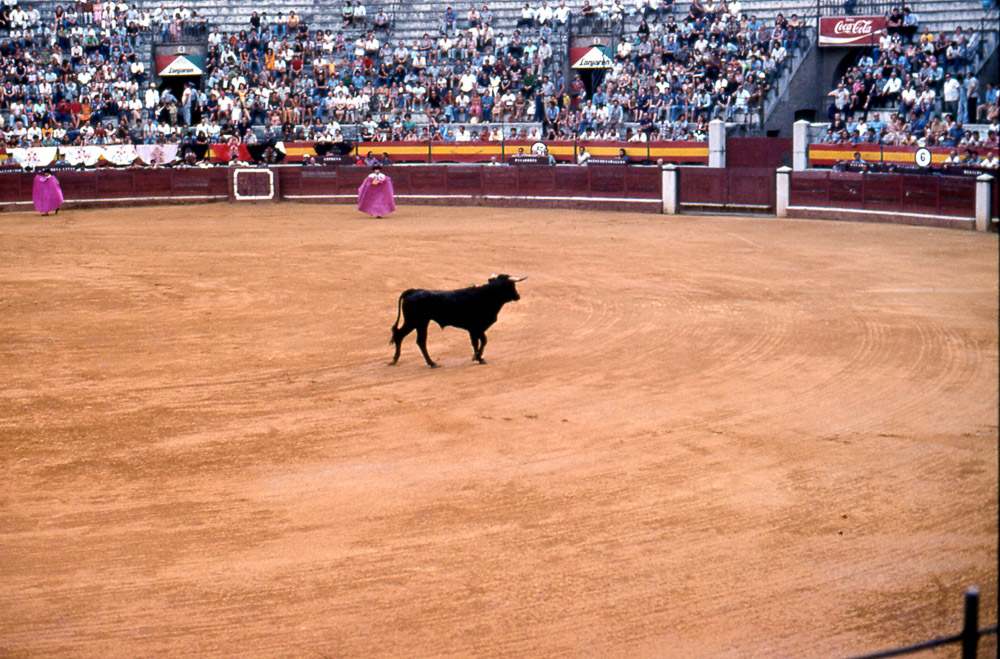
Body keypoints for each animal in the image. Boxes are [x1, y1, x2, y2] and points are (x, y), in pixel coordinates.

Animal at [389, 274, 526, 367]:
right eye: (512, 285)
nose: (518, 296)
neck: (486, 295)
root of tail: (413, 290)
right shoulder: (476, 328)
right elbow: (482, 341)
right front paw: (478, 358)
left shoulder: (474, 329)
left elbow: (478, 342)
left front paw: (477, 357)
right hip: (416, 322)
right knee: (410, 338)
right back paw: (431, 363)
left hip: (419, 323)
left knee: (409, 338)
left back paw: (398, 360)